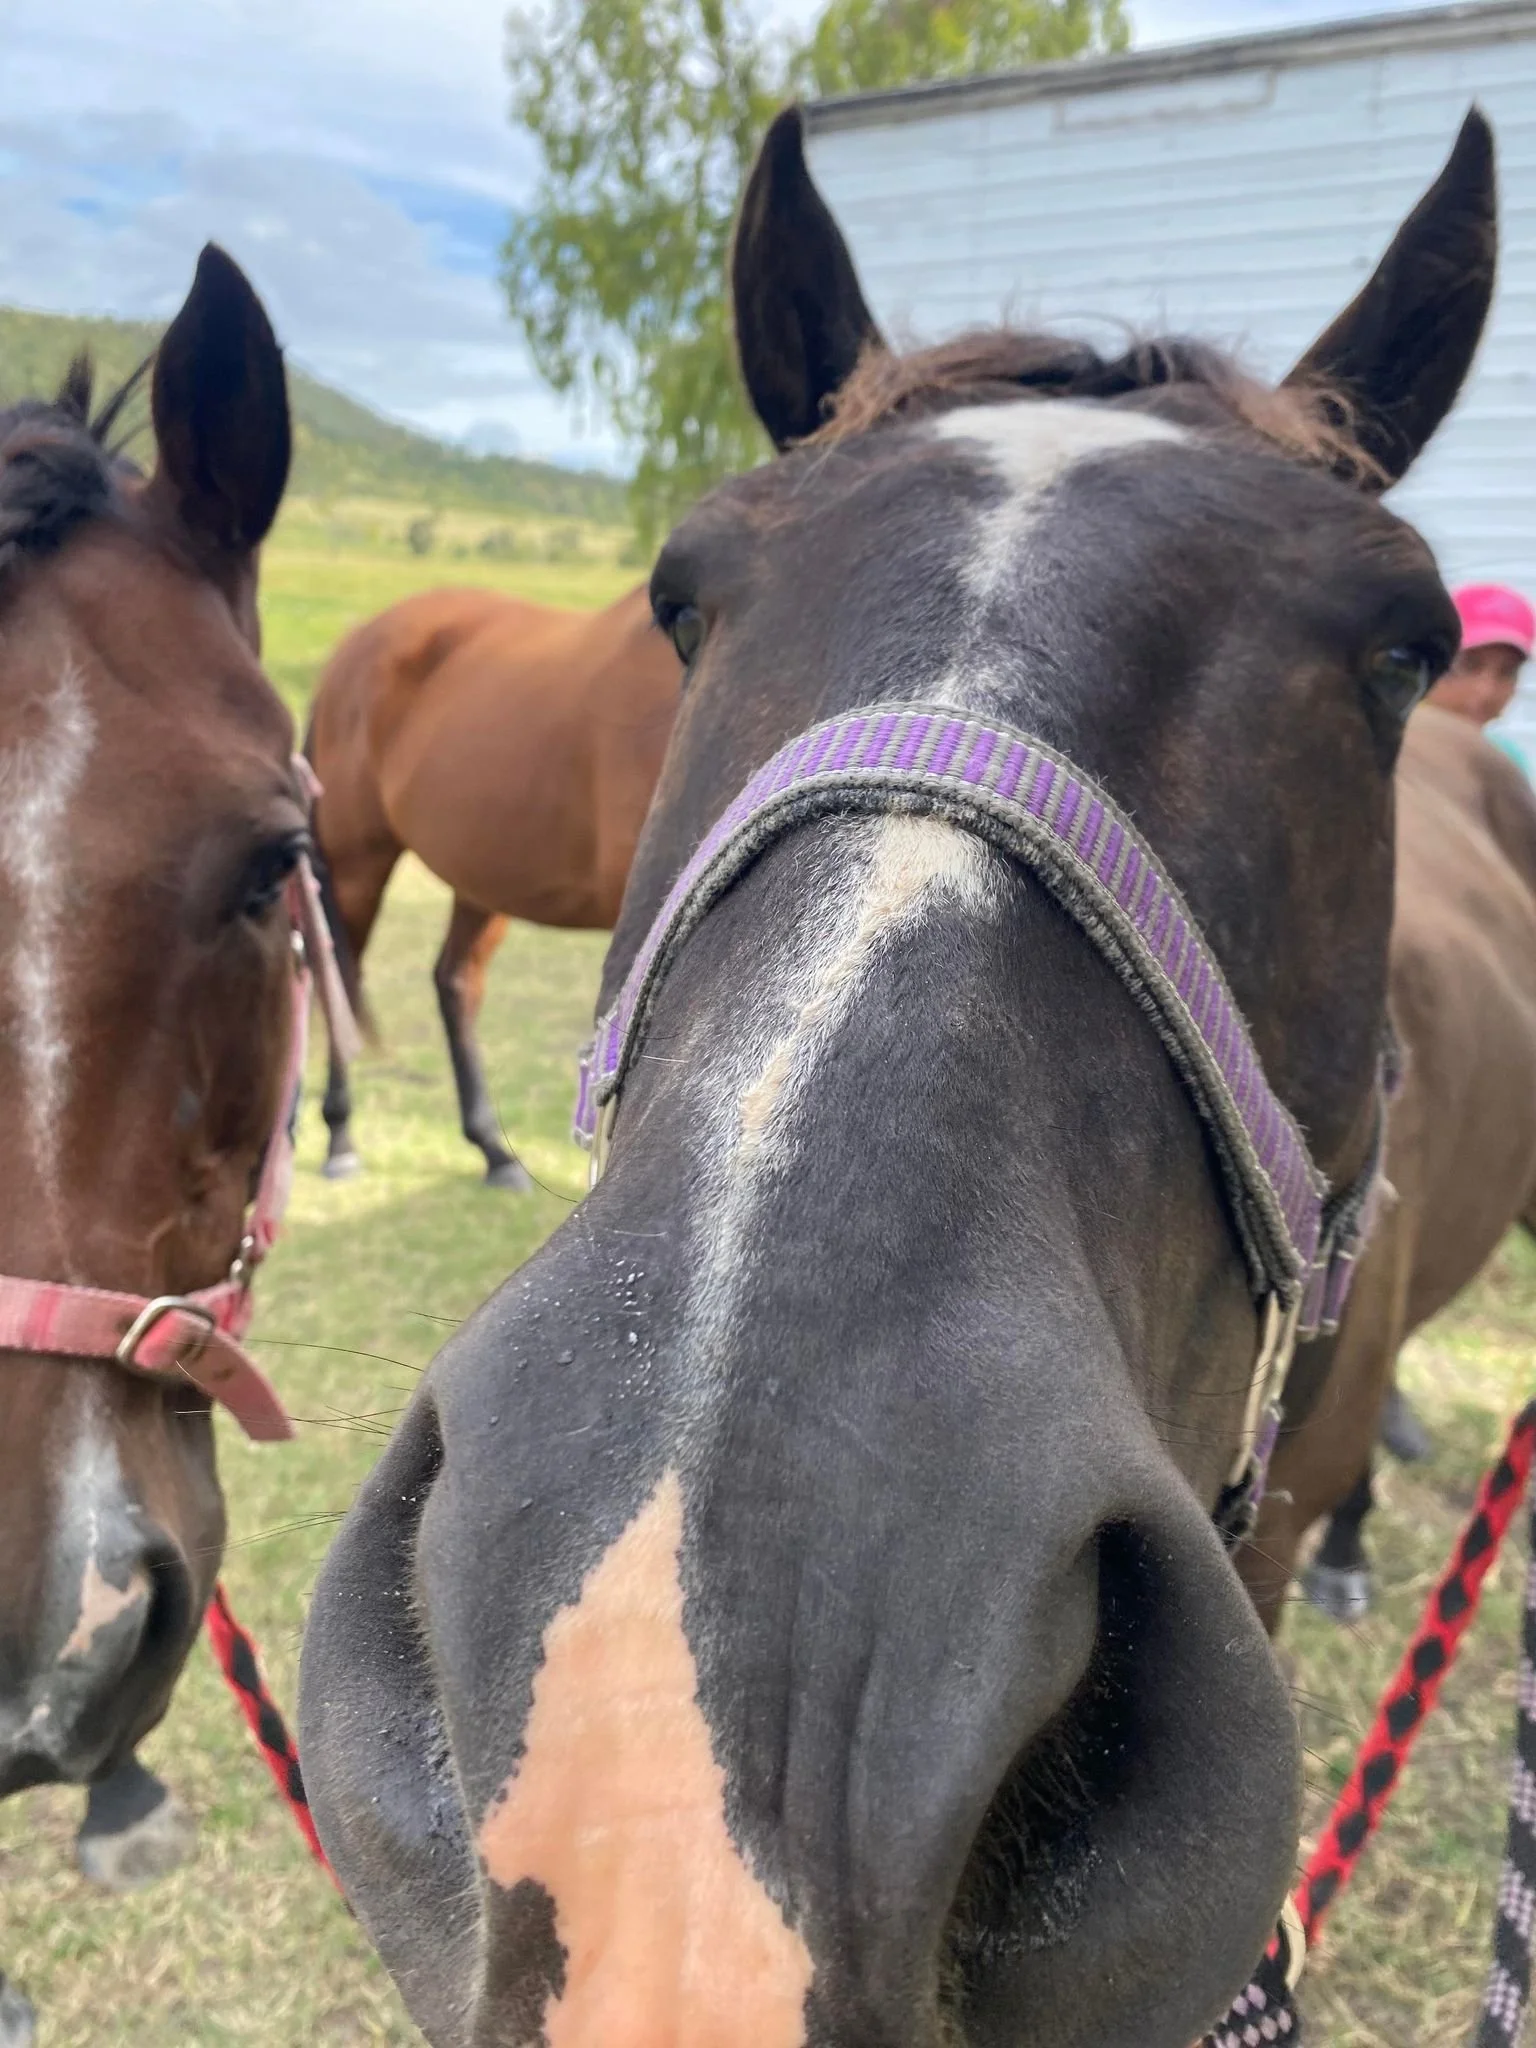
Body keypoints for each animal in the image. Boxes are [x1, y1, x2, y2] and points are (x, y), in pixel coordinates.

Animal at [304, 582, 681, 1187]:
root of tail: (354, 645)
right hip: (356, 863)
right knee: (339, 976)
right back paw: (340, 1137)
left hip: (479, 882)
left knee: (454, 983)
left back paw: (493, 1151)